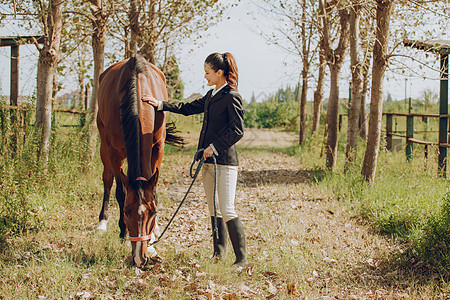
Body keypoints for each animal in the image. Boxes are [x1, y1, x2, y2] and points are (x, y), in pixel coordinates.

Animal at [96, 55, 177, 266]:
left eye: (153, 212)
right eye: (126, 211)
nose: (140, 258)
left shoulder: (158, 148)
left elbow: (153, 189)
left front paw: (154, 235)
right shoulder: (114, 152)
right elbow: (120, 192)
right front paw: (123, 233)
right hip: (104, 146)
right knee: (107, 180)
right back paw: (102, 222)